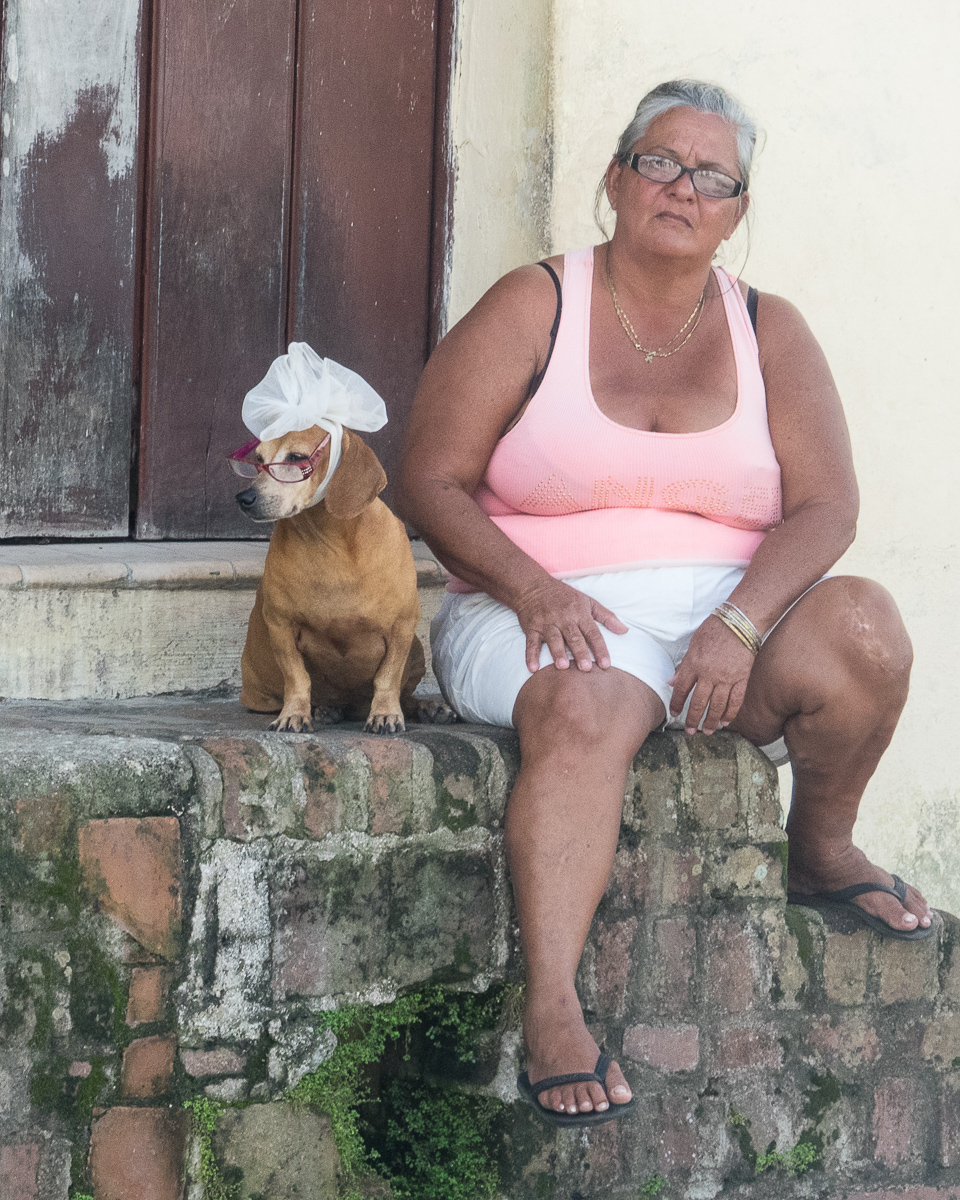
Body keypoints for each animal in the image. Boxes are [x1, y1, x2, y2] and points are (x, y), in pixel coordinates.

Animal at [236, 427, 453, 734]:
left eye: (296, 457)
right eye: (258, 459)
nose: (244, 498)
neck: (332, 542)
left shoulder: (402, 627)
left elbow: (387, 678)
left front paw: (385, 713)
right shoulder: (280, 626)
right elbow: (297, 676)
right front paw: (294, 713)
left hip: (416, 649)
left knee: (404, 695)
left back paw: (428, 707)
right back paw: (326, 710)